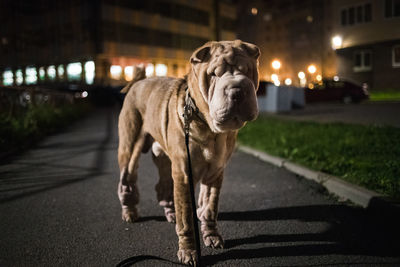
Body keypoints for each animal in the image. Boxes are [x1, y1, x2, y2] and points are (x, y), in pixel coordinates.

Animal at [117, 39, 260, 266]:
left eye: (246, 71)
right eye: (214, 74)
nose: (237, 90)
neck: (211, 130)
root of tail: (138, 82)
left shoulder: (215, 172)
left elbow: (209, 206)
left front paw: (212, 236)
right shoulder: (184, 173)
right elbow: (187, 218)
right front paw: (189, 252)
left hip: (165, 160)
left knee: (164, 187)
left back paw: (170, 212)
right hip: (130, 148)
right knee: (127, 179)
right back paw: (130, 211)